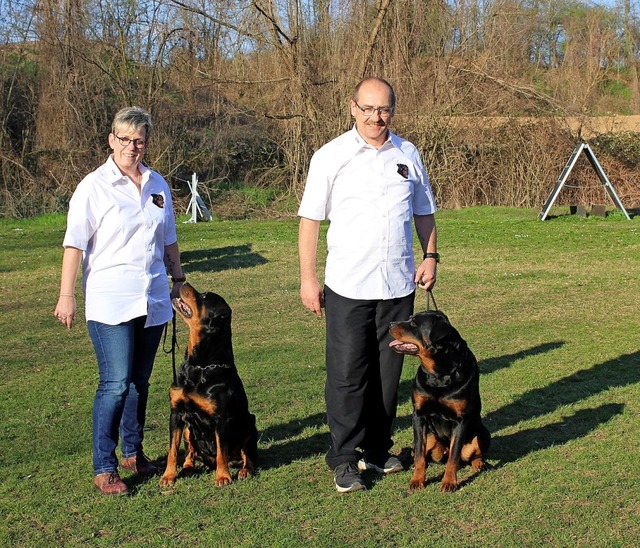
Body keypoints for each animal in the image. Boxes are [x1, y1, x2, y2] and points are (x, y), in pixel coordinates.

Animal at [159, 284, 258, 486]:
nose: (184, 283)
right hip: (188, 430)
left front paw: (223, 476)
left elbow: (221, 451)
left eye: (203, 296)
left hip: (250, 423)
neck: (200, 366)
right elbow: (172, 450)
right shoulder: (176, 413)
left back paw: (245, 470)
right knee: (191, 452)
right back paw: (187, 468)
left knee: (247, 454)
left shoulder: (222, 418)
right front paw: (168, 476)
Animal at [390, 308, 490, 492]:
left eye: (414, 323)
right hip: (430, 435)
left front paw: (449, 482)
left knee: (470, 454)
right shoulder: (418, 415)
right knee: (423, 453)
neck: (439, 373)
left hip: (482, 433)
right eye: (410, 318)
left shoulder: (461, 420)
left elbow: (454, 456)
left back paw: (480, 464)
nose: (390, 324)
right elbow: (420, 454)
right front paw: (417, 480)